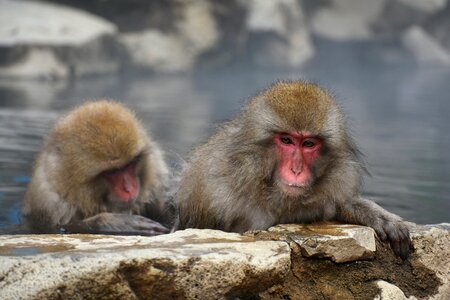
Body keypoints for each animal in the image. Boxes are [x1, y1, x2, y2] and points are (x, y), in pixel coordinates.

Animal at [22, 99, 174, 236]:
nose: (129, 189)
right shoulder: (50, 203)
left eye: (130, 164)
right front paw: (112, 222)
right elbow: (61, 227)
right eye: (113, 171)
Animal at [175, 81, 412, 258]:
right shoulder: (210, 195)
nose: (296, 170)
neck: (266, 188)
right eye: (287, 140)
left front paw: (378, 217)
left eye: (308, 143)